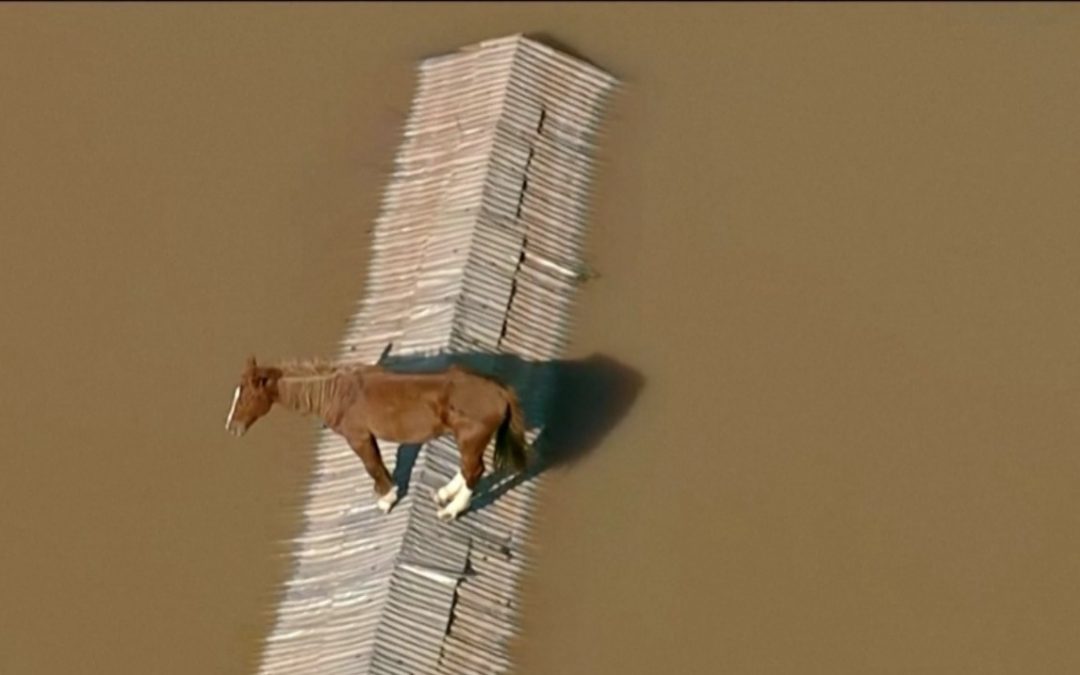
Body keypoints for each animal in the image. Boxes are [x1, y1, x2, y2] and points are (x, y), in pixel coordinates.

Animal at [225, 358, 529, 520]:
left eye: (247, 397)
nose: (231, 428)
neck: (337, 393)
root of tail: (500, 392)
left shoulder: (359, 437)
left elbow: (372, 465)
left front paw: (387, 498)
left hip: (470, 439)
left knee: (474, 470)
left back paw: (450, 511)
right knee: (468, 469)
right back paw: (443, 494)